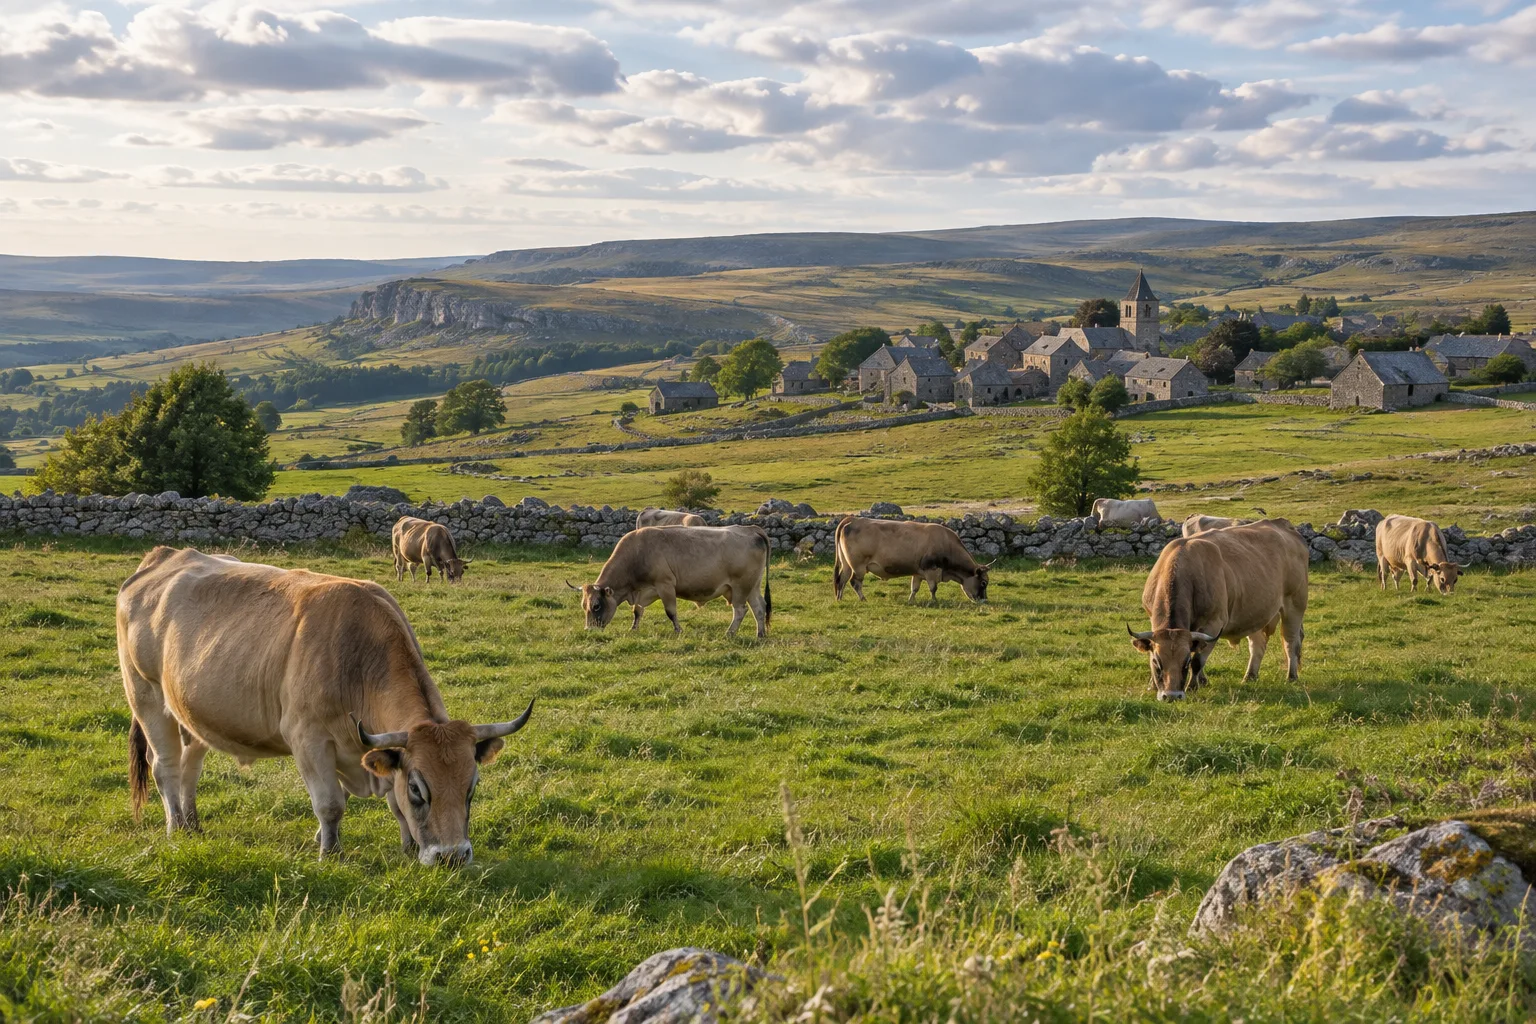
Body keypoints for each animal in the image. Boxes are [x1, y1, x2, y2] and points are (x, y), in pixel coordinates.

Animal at [117, 547, 532, 864]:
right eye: (418, 788)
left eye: (472, 785)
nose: (452, 856)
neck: (357, 659)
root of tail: (163, 556)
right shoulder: (308, 738)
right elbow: (330, 803)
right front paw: (330, 853)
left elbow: (385, 804)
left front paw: (405, 846)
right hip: (146, 696)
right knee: (165, 766)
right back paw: (176, 827)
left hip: (192, 710)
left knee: (191, 764)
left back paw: (193, 823)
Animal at [568, 525, 771, 636]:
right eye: (583, 606)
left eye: (596, 606)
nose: (588, 630)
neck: (638, 552)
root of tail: (751, 529)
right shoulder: (643, 592)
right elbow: (637, 612)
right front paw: (633, 629)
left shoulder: (665, 585)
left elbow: (671, 612)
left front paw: (678, 630)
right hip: (752, 586)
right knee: (759, 608)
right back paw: (760, 634)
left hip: (741, 587)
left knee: (740, 610)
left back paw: (729, 633)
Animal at [833, 516, 991, 603]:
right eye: (983, 582)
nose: (984, 600)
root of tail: (852, 519)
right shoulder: (931, 569)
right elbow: (933, 588)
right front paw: (934, 600)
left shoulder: (918, 572)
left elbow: (914, 588)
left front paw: (911, 599)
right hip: (858, 566)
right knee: (855, 582)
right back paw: (863, 599)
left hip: (847, 565)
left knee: (842, 580)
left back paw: (839, 599)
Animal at [1128, 519, 1308, 701]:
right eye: (1157, 662)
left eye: (1185, 662)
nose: (1172, 696)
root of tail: (1282, 524)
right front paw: (1153, 685)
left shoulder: (1213, 624)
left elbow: (1198, 660)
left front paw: (1193, 686)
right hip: (1255, 611)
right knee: (1258, 644)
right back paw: (1250, 676)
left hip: (1295, 605)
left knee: (1291, 642)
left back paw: (1291, 677)